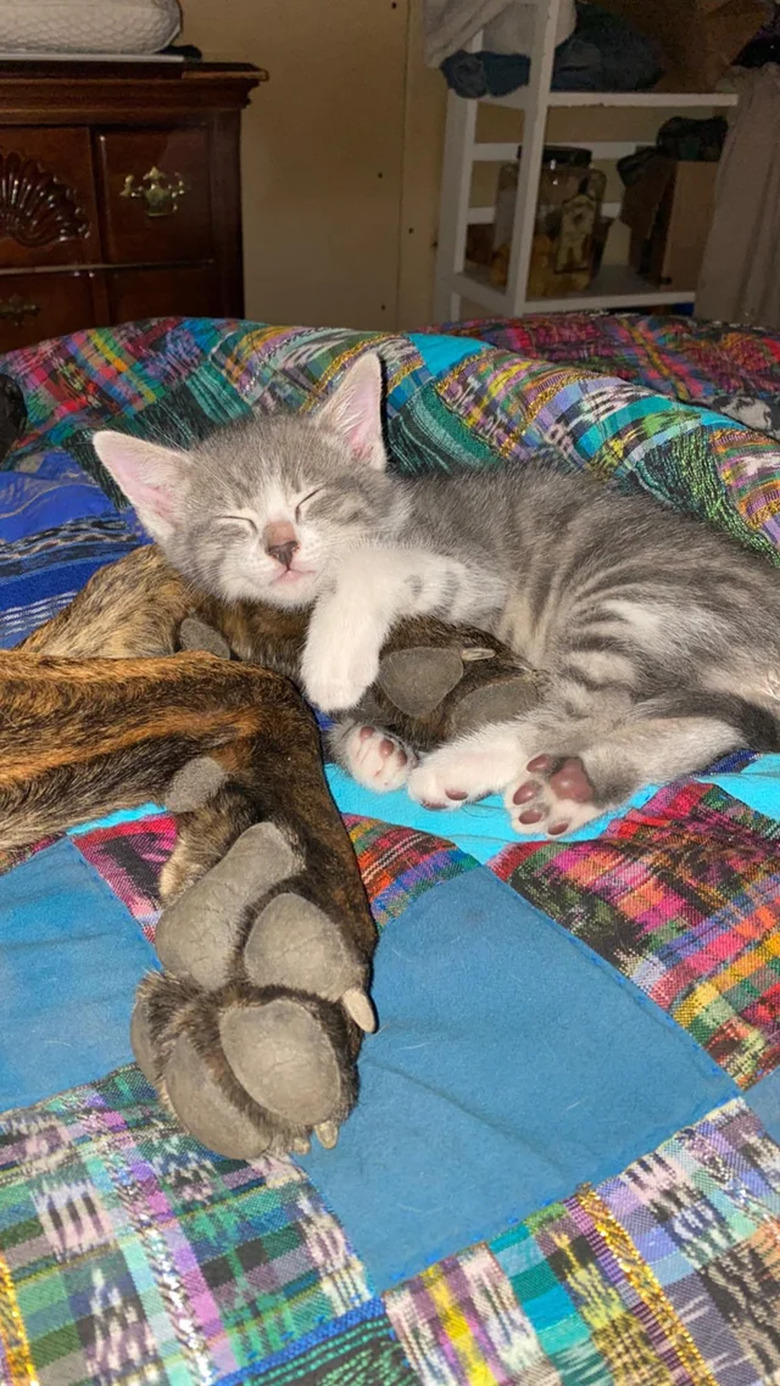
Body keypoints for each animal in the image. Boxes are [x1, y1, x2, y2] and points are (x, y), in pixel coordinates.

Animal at [92, 352, 780, 837]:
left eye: (311, 498)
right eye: (235, 520)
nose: (282, 546)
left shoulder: (479, 579)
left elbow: (368, 564)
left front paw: (334, 665)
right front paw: (368, 747)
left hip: (630, 597)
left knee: (594, 706)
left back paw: (464, 764)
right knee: (698, 724)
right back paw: (571, 788)